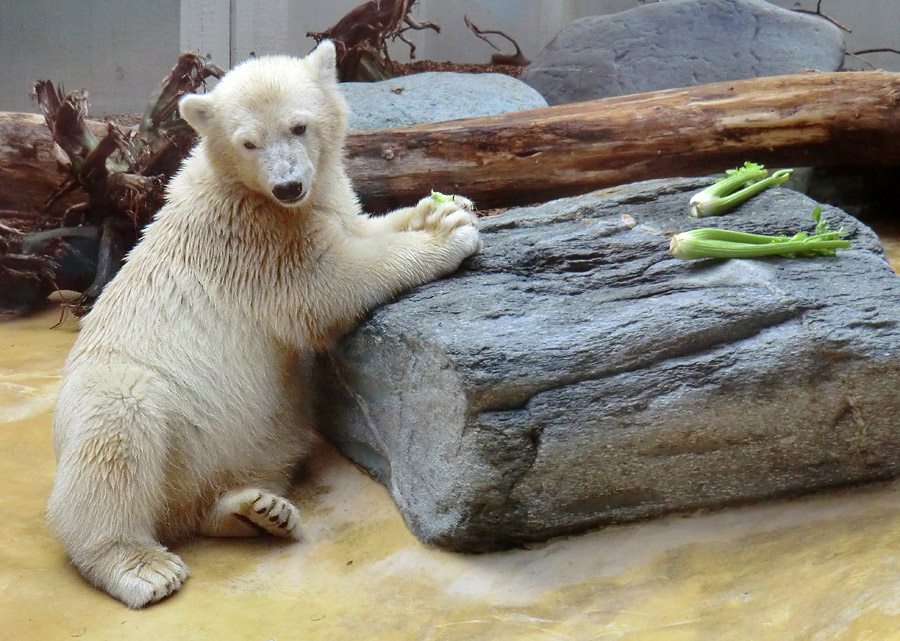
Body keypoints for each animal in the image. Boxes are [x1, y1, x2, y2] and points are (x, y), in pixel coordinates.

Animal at [49, 41, 482, 608]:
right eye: (249, 142)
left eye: (299, 126)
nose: (289, 184)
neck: (243, 186)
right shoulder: (255, 238)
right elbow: (328, 284)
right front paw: (447, 235)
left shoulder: (316, 201)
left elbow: (358, 225)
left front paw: (447, 207)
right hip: (122, 395)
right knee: (115, 430)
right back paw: (140, 565)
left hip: (252, 438)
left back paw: (255, 511)